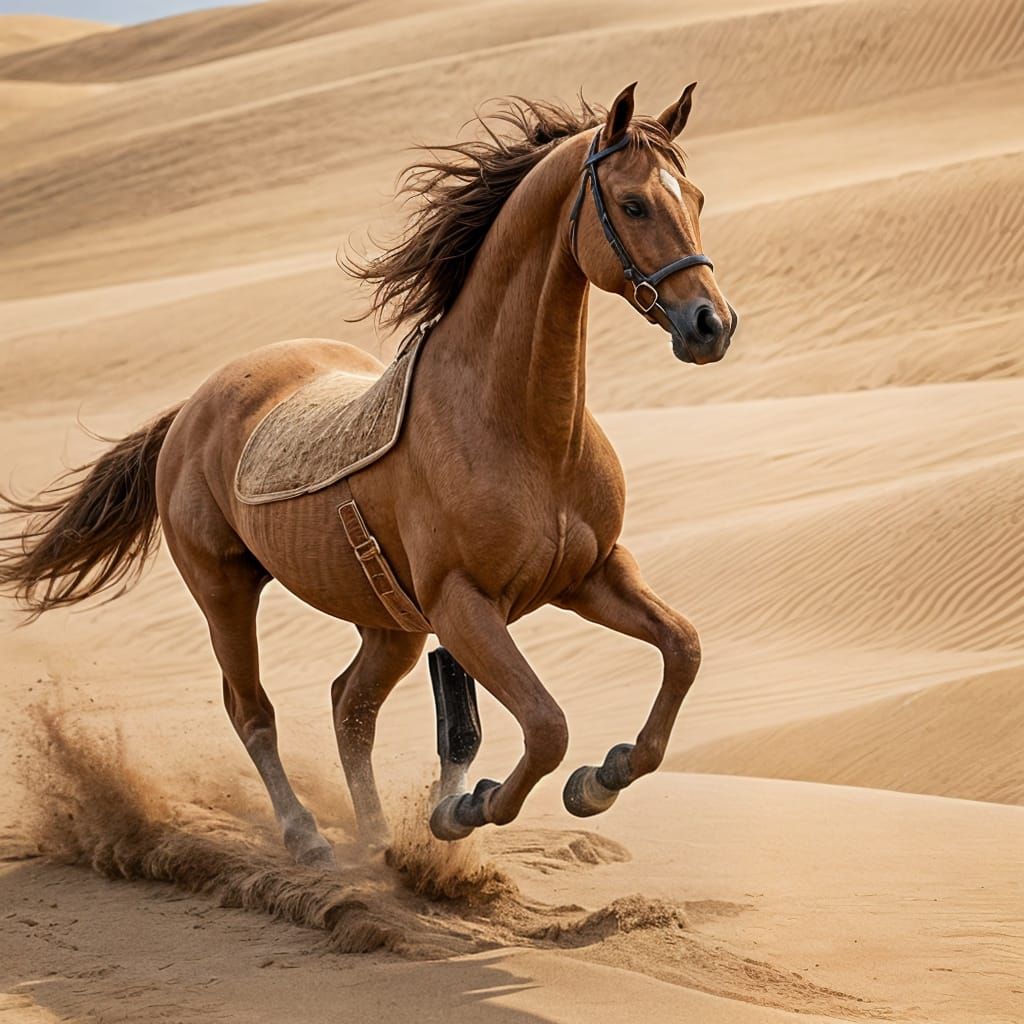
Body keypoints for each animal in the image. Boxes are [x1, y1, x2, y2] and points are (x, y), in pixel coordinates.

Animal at [1, 83, 736, 866]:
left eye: (695, 196)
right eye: (634, 205)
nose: (712, 325)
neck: (521, 429)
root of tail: (191, 408)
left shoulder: (592, 576)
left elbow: (682, 648)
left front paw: (602, 777)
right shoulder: (464, 606)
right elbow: (546, 726)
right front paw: (466, 808)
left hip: (389, 625)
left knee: (348, 705)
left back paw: (380, 840)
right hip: (225, 593)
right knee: (253, 710)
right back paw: (310, 840)